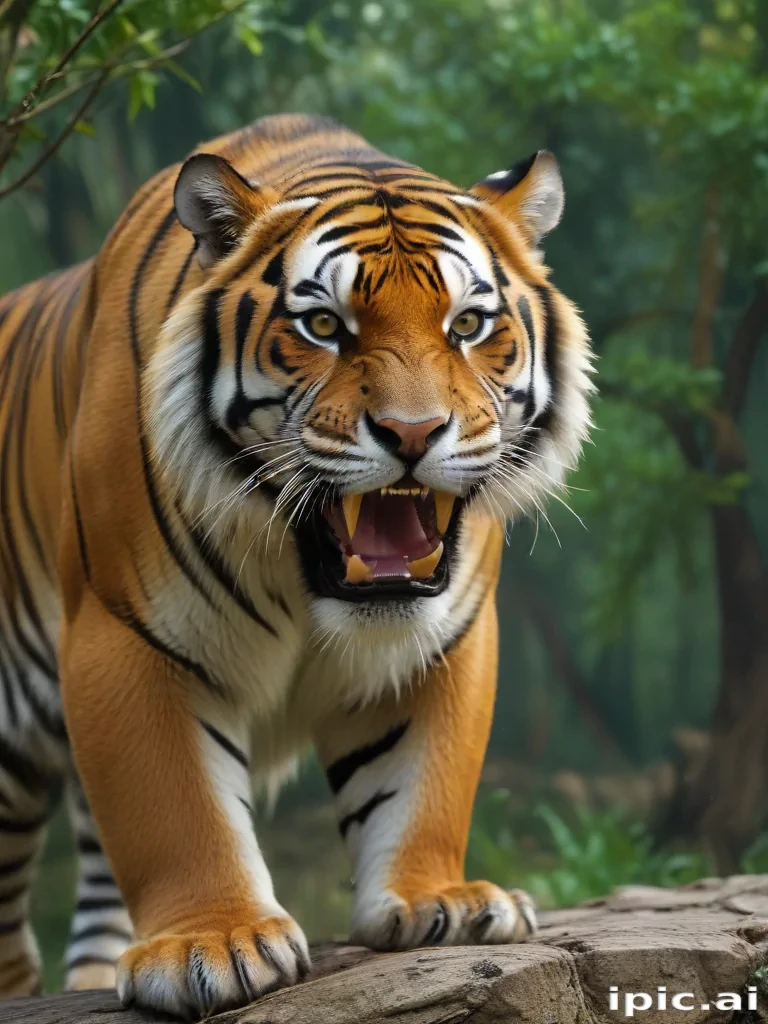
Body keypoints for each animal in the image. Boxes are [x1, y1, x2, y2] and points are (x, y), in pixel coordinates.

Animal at [0, 113, 593, 1017]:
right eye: (324, 327)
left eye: (466, 326)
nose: (415, 433)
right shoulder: (124, 632)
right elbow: (176, 808)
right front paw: (209, 944)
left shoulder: (445, 637)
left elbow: (423, 781)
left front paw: (439, 902)